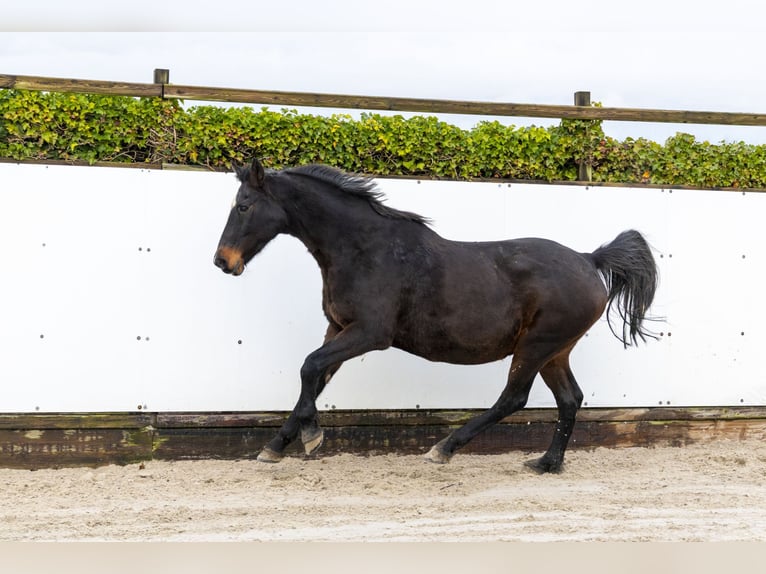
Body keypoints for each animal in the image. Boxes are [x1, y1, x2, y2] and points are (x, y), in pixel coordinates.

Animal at [214, 157, 658, 473]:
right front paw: (275, 447)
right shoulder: (337, 328)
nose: (222, 261)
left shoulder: (369, 333)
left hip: (536, 345)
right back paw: (547, 463)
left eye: (244, 206)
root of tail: (589, 259)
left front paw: (310, 436)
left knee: (514, 397)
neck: (364, 249)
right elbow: (314, 377)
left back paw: (444, 449)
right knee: (570, 398)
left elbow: (309, 367)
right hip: (555, 351)